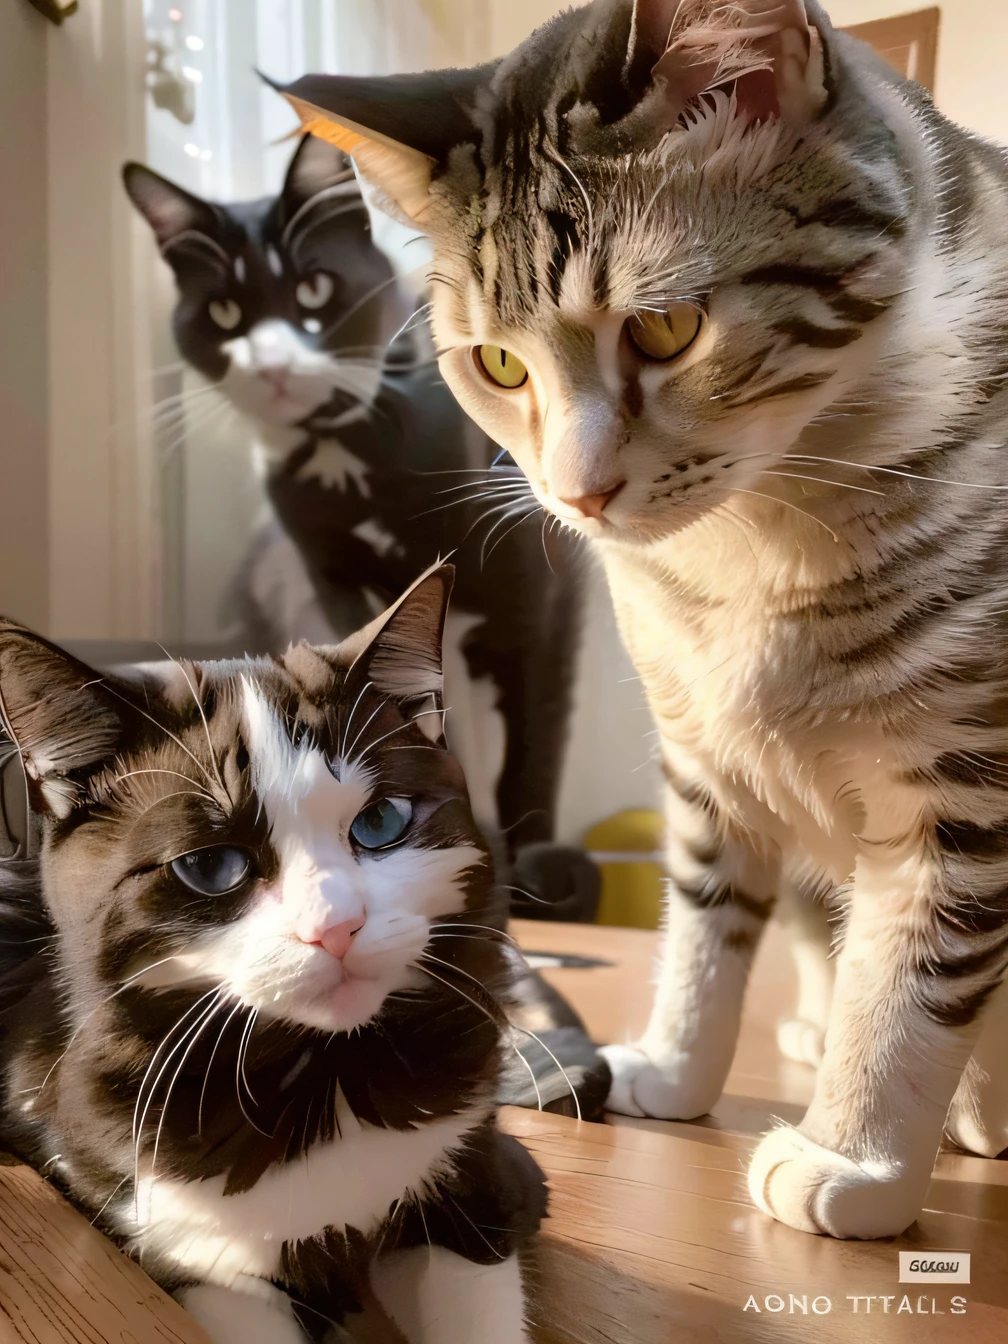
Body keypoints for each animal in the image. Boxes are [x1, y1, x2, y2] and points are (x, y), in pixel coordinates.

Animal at [0, 567, 545, 1344]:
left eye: (381, 822)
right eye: (210, 866)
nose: (337, 926)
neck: (324, 1075)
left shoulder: (479, 1174)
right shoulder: (180, 1240)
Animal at [124, 136, 599, 919]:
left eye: (315, 291)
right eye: (223, 311)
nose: (274, 365)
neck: (343, 459)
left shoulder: (528, 600)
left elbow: (528, 741)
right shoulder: (328, 574)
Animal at [270, 0, 1008, 1236]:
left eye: (666, 330)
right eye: (498, 361)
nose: (577, 495)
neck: (756, 551)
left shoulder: (966, 773)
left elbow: (914, 971)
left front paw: (854, 1159)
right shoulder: (703, 758)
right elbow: (705, 931)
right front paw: (673, 1068)